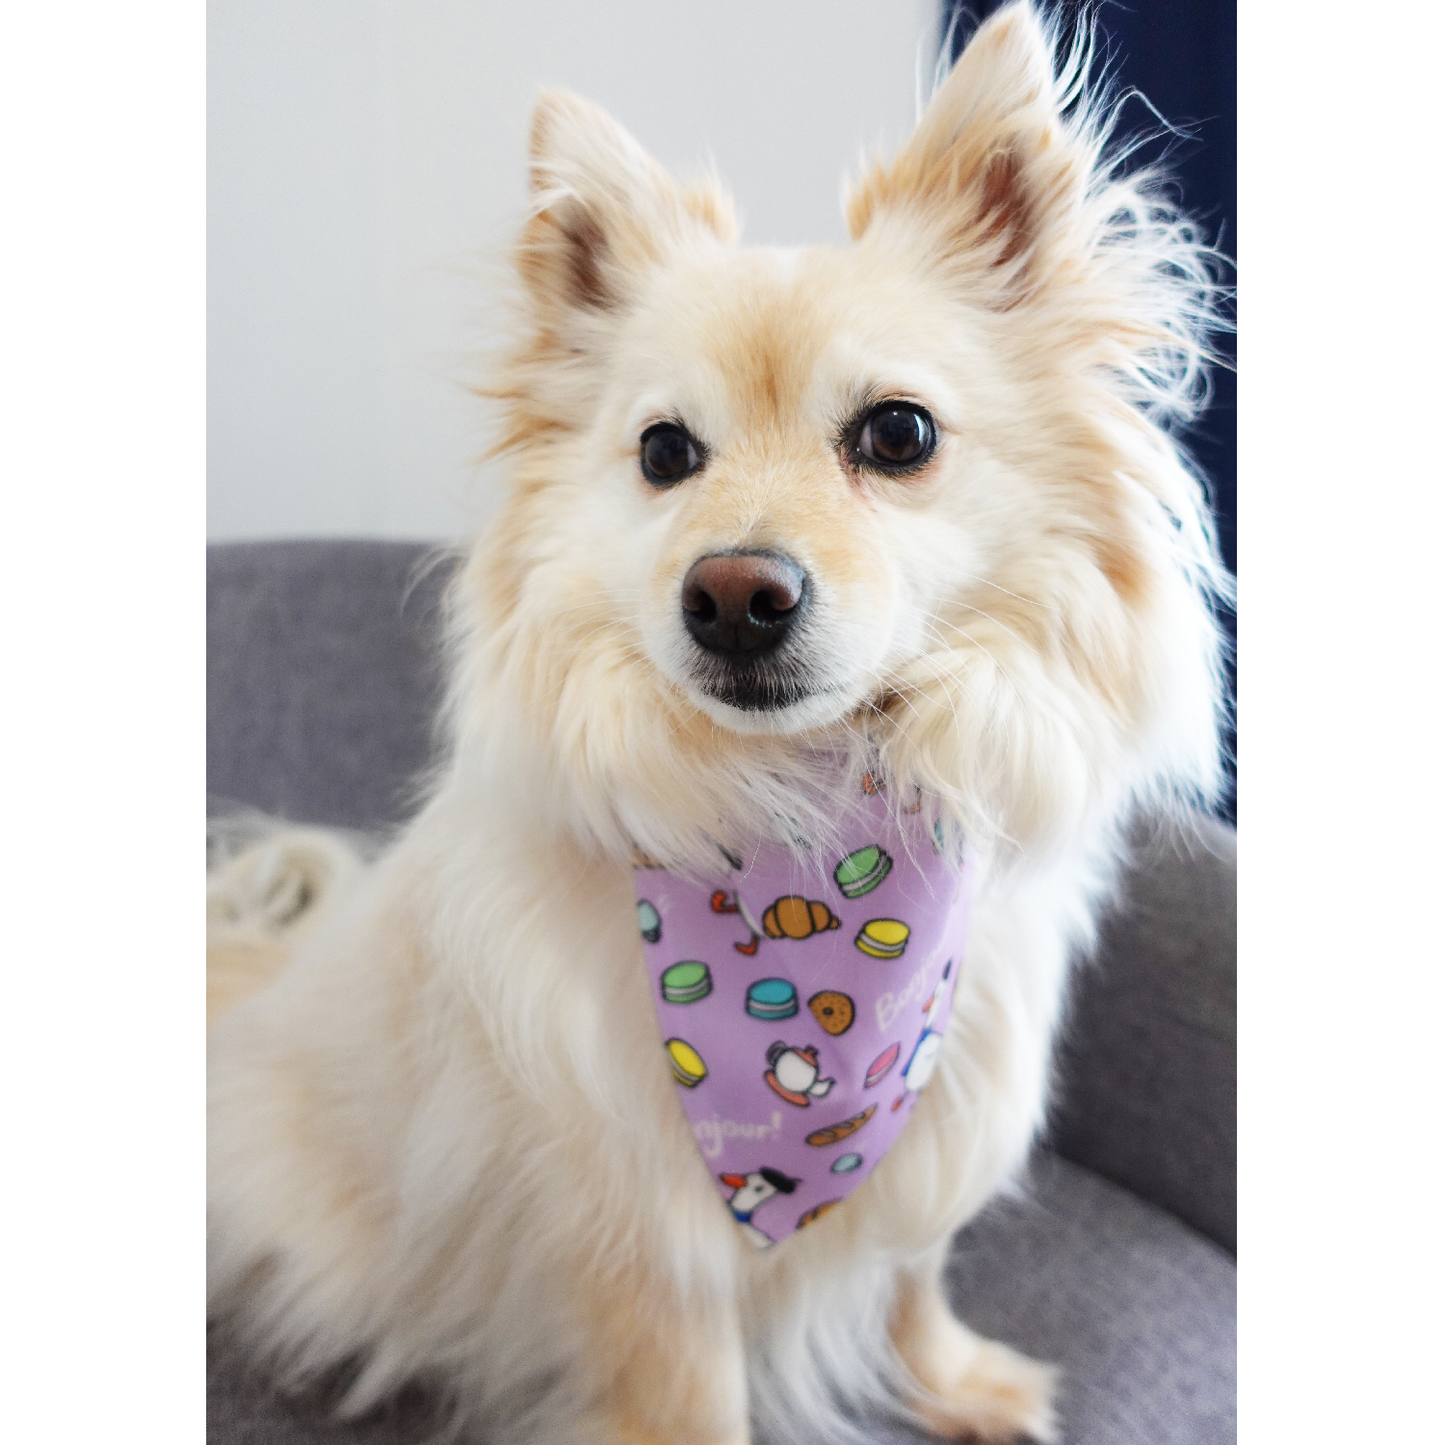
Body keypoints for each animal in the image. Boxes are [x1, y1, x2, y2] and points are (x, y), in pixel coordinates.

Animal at [209, 5, 1231, 1439]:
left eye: (898, 434)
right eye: (662, 454)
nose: (734, 592)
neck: (807, 835)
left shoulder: (927, 1114)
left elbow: (910, 1268)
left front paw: (953, 1378)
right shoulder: (644, 1246)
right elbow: (693, 1393)